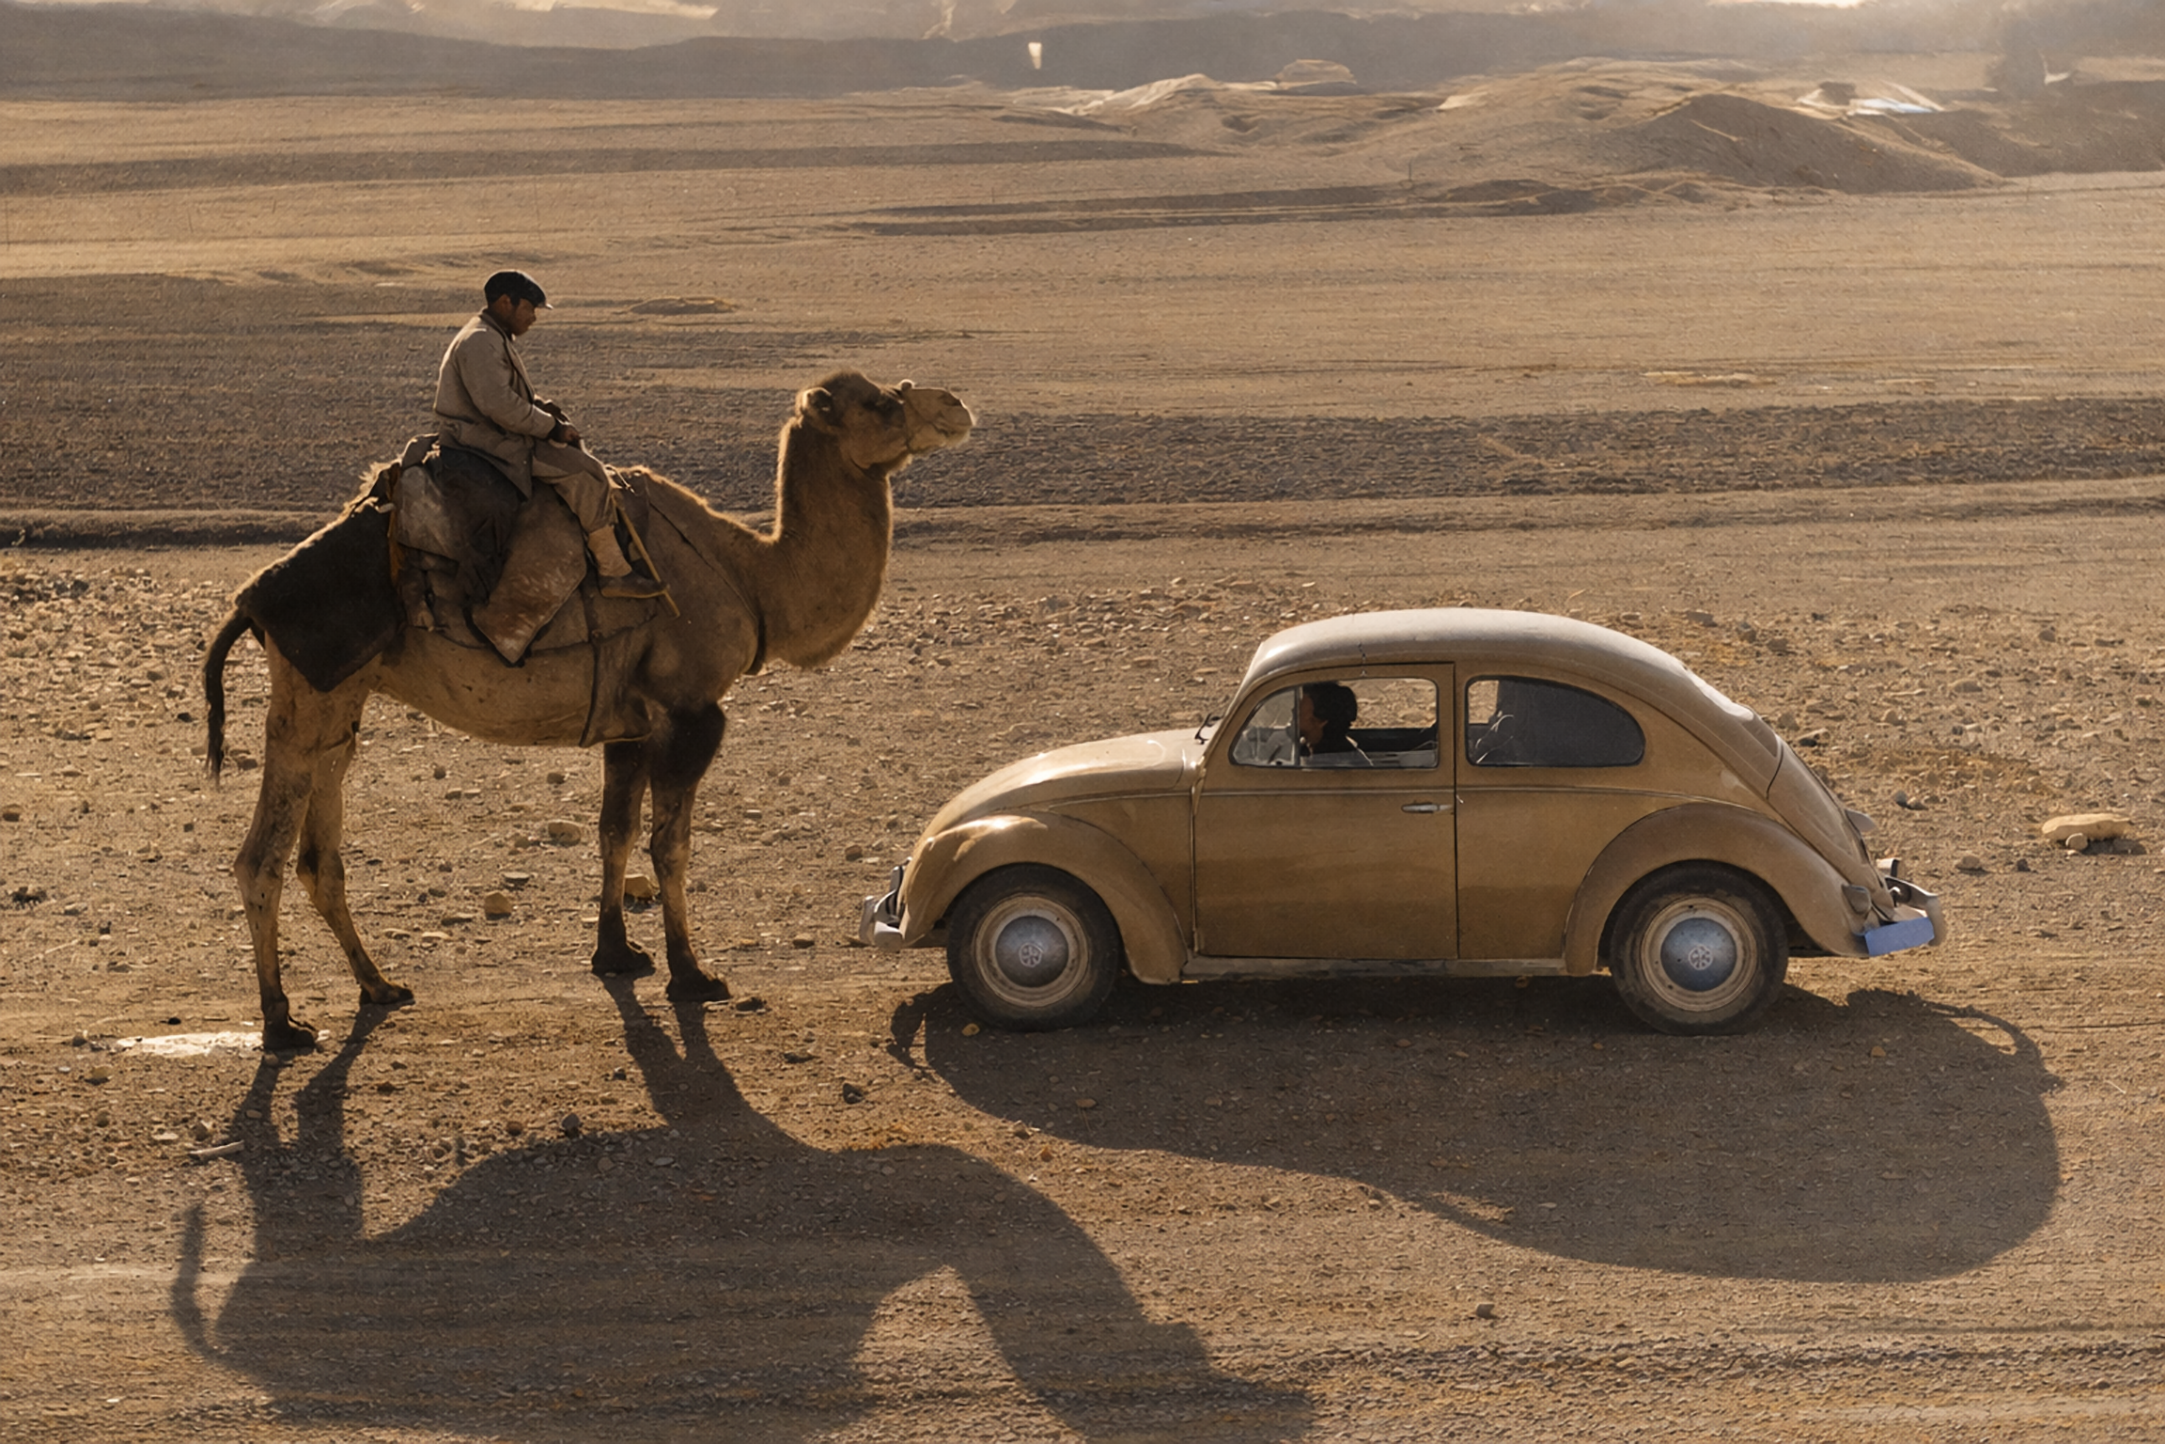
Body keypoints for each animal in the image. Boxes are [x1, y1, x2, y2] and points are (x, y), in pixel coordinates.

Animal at [203, 371, 973, 1052]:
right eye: (880, 402)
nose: (957, 406)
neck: (752, 576)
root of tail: (251, 600)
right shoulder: (691, 712)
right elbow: (670, 846)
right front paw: (693, 974)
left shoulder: (628, 722)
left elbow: (614, 834)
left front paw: (617, 955)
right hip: (312, 686)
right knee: (261, 858)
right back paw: (282, 1023)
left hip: (344, 695)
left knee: (320, 852)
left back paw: (380, 986)